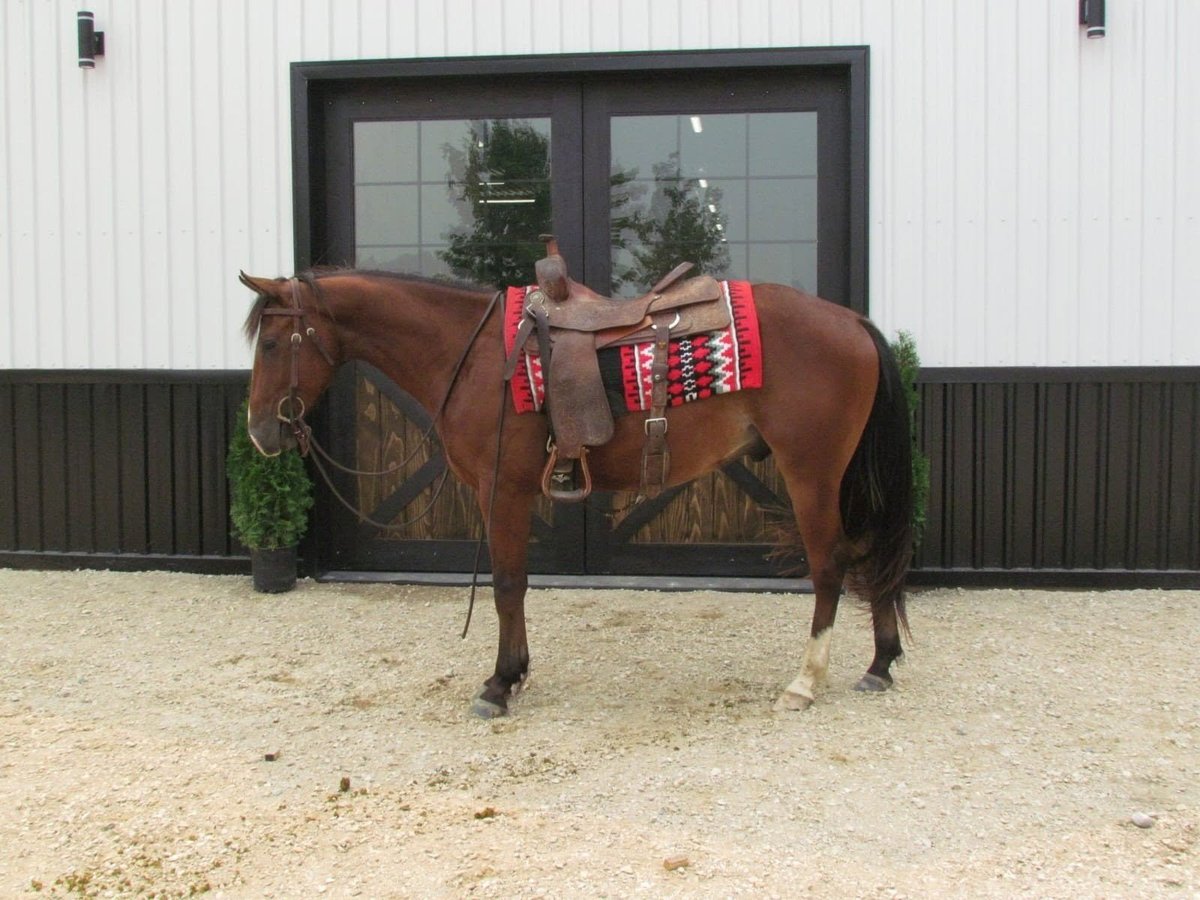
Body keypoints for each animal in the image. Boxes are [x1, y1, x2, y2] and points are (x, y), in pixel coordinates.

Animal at [239, 269, 914, 718]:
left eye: (271, 343)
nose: (260, 433)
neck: (474, 356)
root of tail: (852, 321)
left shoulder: (502, 492)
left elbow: (508, 585)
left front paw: (499, 684)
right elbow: (518, 586)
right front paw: (517, 673)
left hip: (812, 473)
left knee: (830, 566)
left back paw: (806, 682)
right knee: (869, 554)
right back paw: (880, 663)